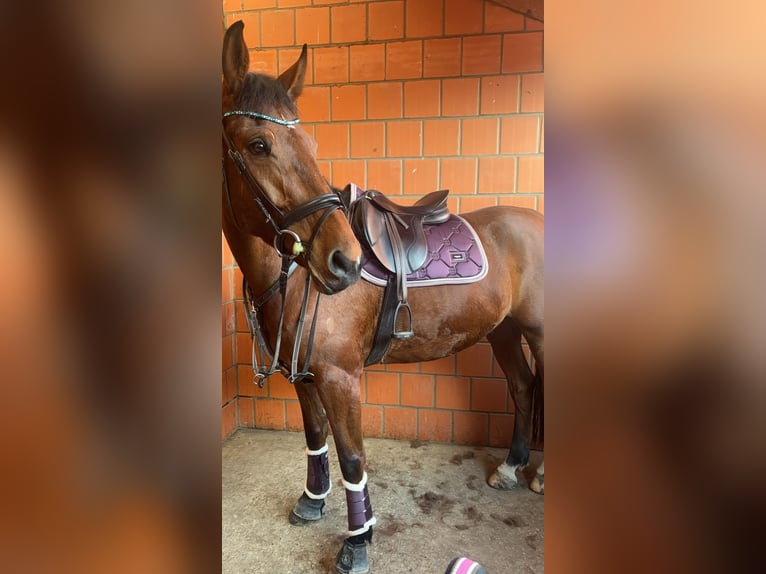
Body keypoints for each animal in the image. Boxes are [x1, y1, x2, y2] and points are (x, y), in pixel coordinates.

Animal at [222, 21, 544, 574]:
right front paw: (312, 502)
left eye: (308, 141)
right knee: (523, 388)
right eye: (259, 143)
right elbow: (315, 438)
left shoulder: (340, 378)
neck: (294, 278)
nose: (344, 262)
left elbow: (353, 456)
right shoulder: (304, 376)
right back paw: (510, 467)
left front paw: (358, 540)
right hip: (504, 331)